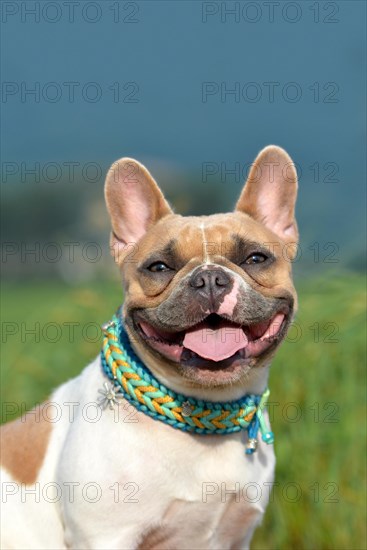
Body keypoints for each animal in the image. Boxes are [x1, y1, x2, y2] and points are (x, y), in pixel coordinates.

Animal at [0, 147, 300, 550]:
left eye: (255, 258)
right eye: (159, 267)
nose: (209, 279)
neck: (204, 412)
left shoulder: (236, 535)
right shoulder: (106, 536)